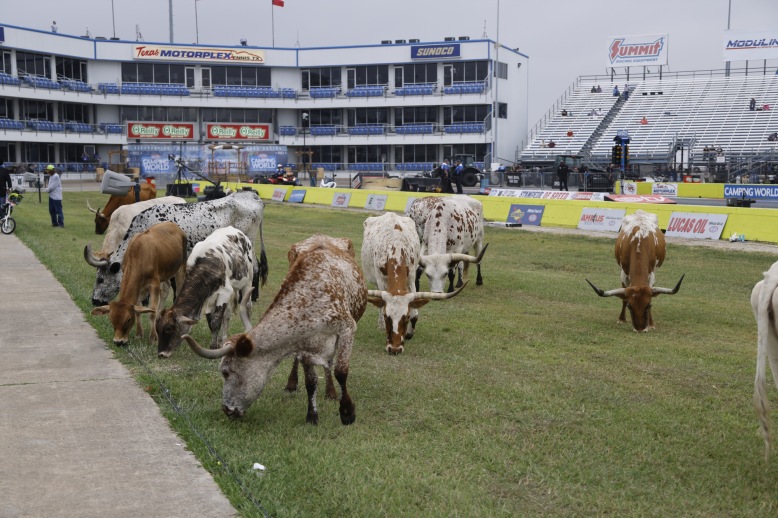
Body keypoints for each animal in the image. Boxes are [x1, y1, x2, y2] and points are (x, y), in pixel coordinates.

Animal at [87, 191, 268, 308]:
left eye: (100, 279)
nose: (94, 301)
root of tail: (253, 196)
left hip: (249, 243)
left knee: (255, 268)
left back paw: (251, 296)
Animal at [155, 228, 255, 362]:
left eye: (170, 328)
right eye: (157, 329)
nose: (161, 354)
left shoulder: (224, 292)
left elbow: (216, 321)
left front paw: (213, 346)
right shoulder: (208, 298)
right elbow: (210, 319)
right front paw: (217, 344)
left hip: (248, 280)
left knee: (248, 306)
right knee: (227, 314)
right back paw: (223, 338)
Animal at [183, 238, 366, 428]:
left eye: (225, 372)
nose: (227, 410)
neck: (309, 302)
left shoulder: (347, 329)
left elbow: (341, 371)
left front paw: (347, 412)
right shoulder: (304, 348)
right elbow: (311, 382)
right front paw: (312, 416)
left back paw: (331, 392)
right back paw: (292, 383)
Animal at [360, 213, 464, 356]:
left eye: (406, 317)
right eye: (387, 318)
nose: (394, 349)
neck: (396, 248)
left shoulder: (411, 280)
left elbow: (415, 312)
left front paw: (409, 333)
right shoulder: (381, 281)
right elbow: (381, 305)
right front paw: (382, 324)